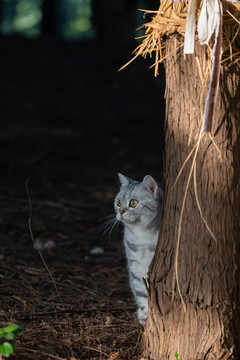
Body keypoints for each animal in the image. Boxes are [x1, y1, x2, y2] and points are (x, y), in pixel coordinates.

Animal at [114, 173, 163, 324]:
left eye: (133, 203)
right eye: (118, 202)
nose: (121, 211)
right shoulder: (135, 267)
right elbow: (142, 294)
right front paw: (145, 316)